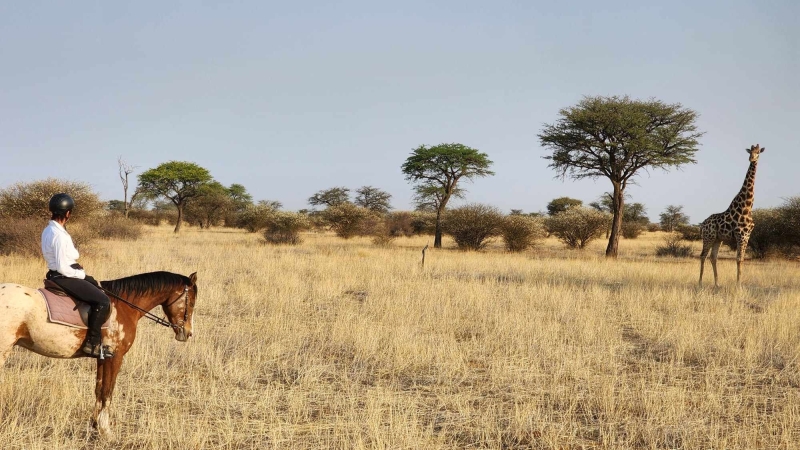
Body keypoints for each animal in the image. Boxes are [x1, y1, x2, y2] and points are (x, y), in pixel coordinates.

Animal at [0, 270, 198, 436]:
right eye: (192, 301)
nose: (188, 333)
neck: (124, 306)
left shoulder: (102, 358)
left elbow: (99, 389)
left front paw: (95, 425)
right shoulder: (115, 358)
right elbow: (107, 392)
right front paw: (105, 430)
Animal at [696, 144, 764, 286]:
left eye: (758, 153)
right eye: (750, 152)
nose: (752, 158)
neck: (746, 207)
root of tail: (702, 224)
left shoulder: (747, 235)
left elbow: (741, 259)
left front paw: (739, 283)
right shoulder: (740, 234)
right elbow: (738, 259)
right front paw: (738, 285)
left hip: (718, 239)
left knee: (713, 257)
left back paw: (717, 284)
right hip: (709, 237)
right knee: (703, 255)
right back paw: (700, 283)